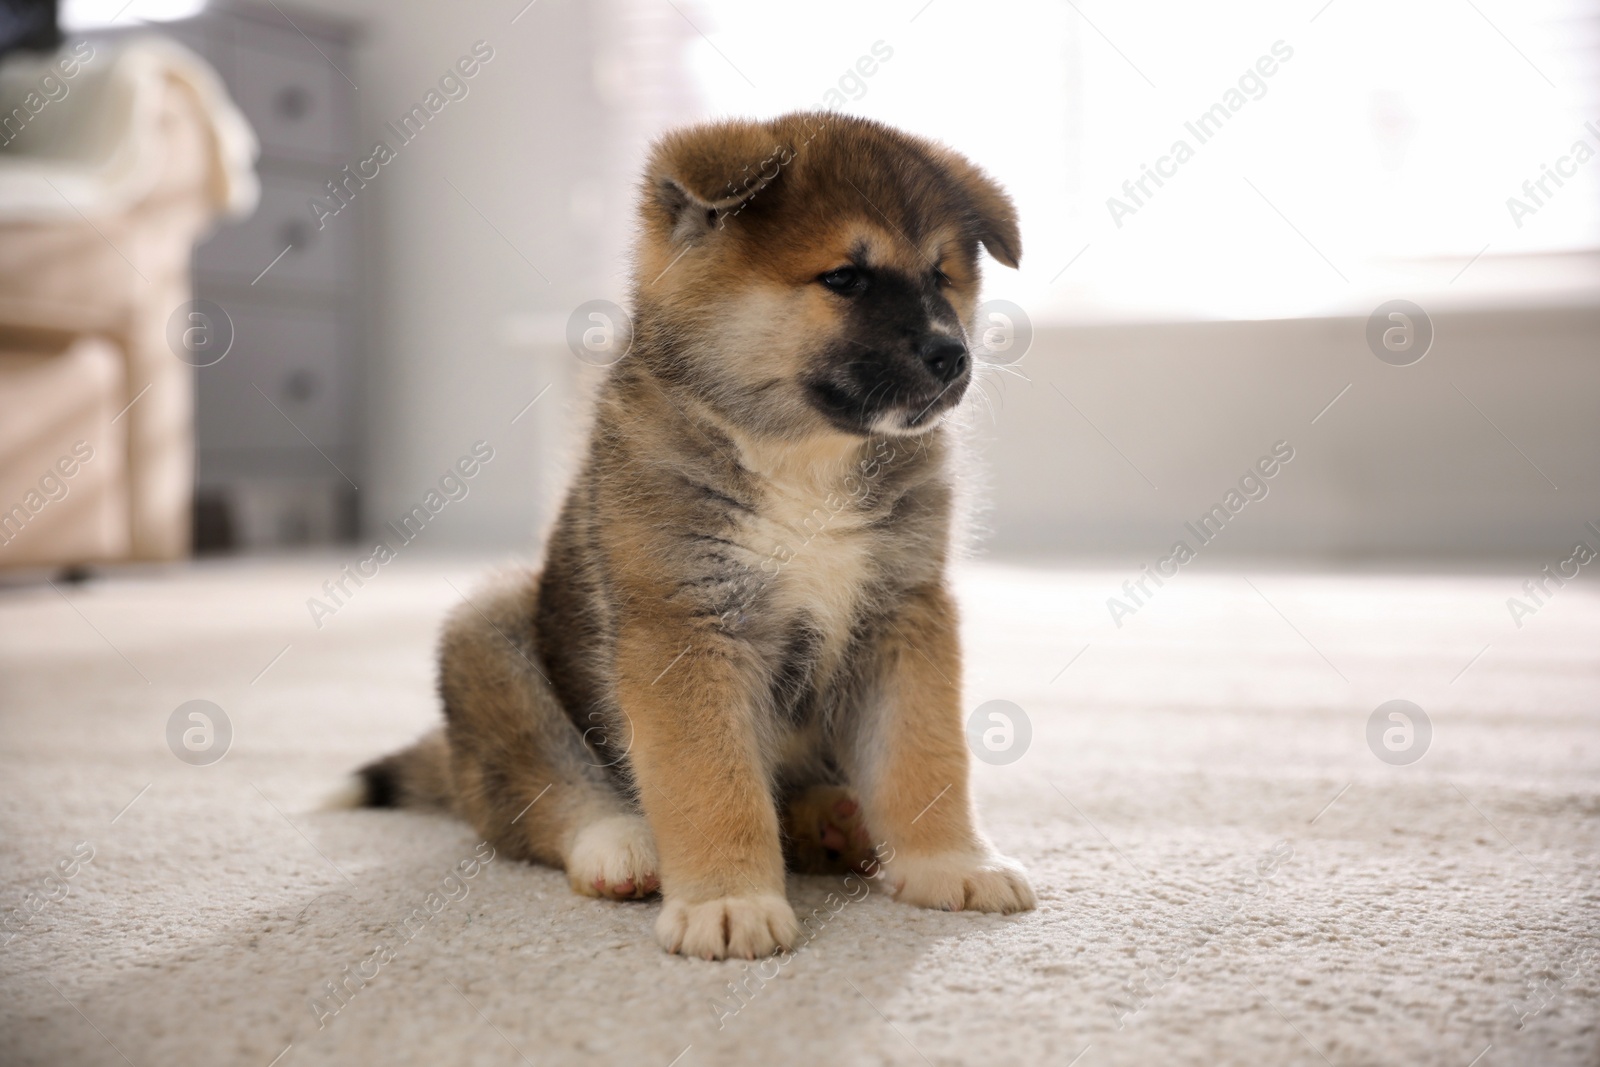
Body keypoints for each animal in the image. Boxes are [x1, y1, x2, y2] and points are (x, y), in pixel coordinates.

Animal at [356, 112, 1036, 966]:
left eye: (942, 278)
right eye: (845, 279)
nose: (954, 355)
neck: (802, 462)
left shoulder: (902, 613)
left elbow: (923, 756)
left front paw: (950, 861)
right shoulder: (686, 626)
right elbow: (712, 782)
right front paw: (729, 899)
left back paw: (834, 819)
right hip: (489, 634)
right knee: (538, 794)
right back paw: (623, 843)